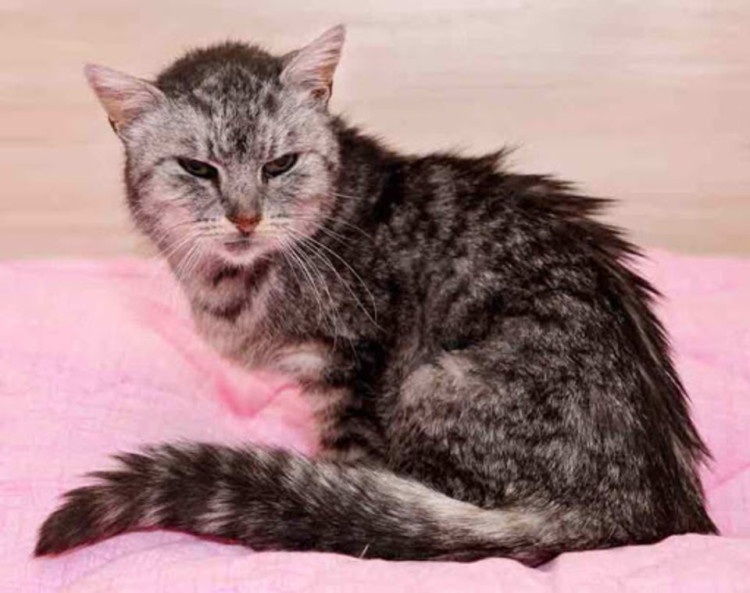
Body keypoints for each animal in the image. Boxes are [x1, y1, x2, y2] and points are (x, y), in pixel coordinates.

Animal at [33, 25, 716, 560]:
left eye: (280, 165)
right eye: (198, 169)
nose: (245, 218)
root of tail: (645, 512)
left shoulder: (349, 365)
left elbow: (347, 465)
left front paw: (332, 503)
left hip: (431, 383)